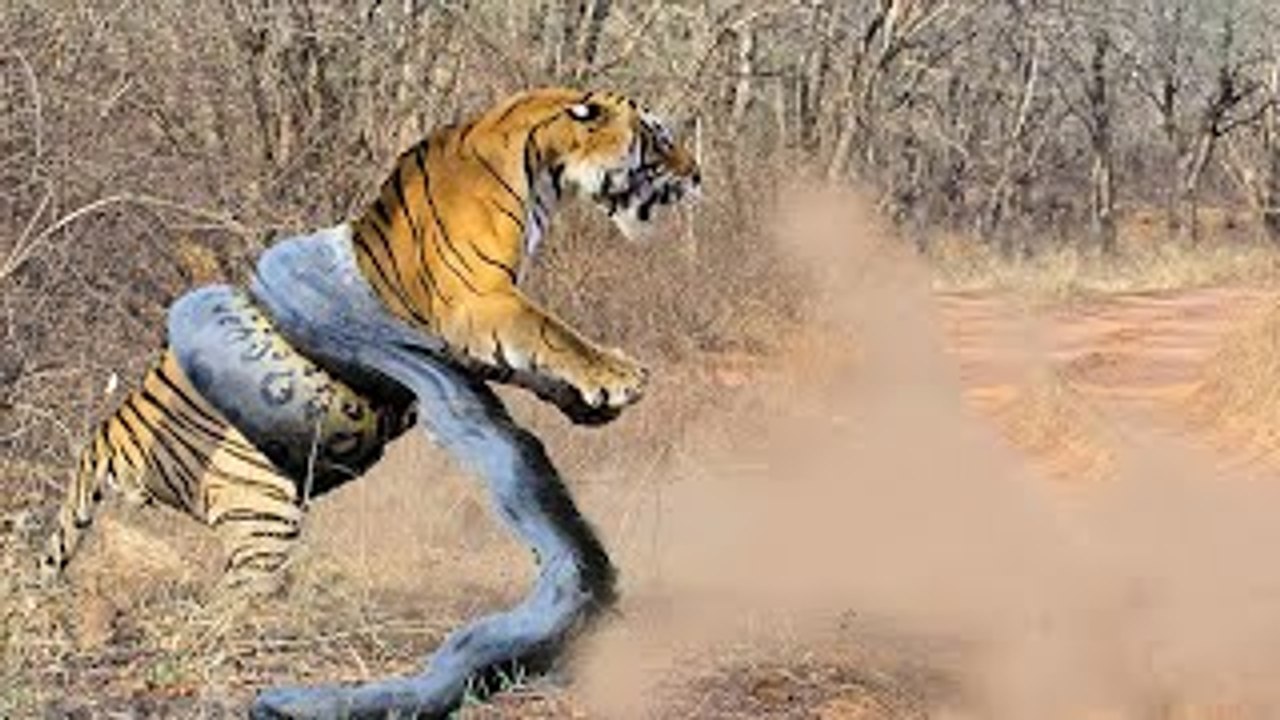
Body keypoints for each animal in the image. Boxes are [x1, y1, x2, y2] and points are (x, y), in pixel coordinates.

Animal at [43, 87, 700, 717]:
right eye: (658, 137)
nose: (697, 175)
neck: (537, 160)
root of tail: (108, 432)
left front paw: (592, 402)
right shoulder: (480, 303)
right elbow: (551, 334)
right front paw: (619, 375)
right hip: (262, 509)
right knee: (224, 603)